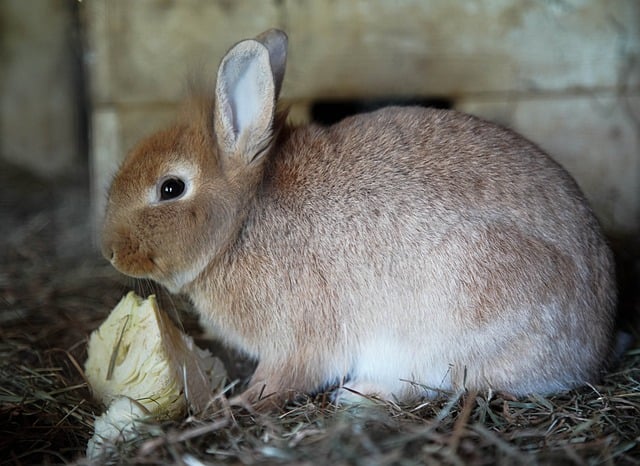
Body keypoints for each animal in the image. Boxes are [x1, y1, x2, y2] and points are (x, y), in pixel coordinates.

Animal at [102, 28, 616, 408]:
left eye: (171, 188)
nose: (109, 252)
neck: (242, 223)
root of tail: (593, 345)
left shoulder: (298, 337)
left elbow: (283, 376)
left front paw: (242, 402)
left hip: (457, 320)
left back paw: (362, 393)